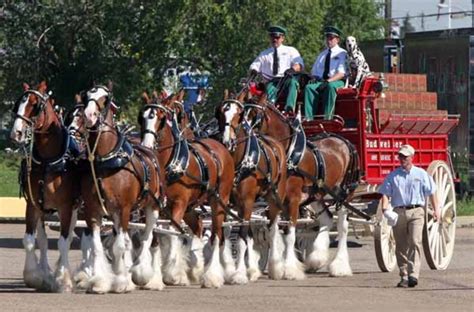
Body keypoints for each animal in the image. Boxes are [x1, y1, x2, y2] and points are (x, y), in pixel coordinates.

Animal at [10, 81, 80, 292]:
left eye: (35, 105)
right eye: (17, 104)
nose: (15, 134)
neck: (48, 162)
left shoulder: (66, 207)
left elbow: (64, 242)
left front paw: (63, 280)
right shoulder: (33, 205)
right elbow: (30, 240)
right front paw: (35, 276)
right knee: (42, 239)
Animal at [72, 84, 165, 292]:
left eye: (105, 98)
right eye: (87, 95)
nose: (89, 115)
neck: (106, 159)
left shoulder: (124, 208)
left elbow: (120, 247)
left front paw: (122, 281)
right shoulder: (93, 210)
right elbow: (98, 246)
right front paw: (99, 281)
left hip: (152, 207)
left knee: (148, 238)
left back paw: (144, 274)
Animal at [140, 92, 236, 288]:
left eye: (161, 118)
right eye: (142, 117)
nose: (146, 144)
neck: (169, 164)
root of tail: (220, 147)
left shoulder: (179, 203)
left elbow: (172, 232)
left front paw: (172, 273)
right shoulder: (159, 206)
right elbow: (156, 236)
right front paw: (155, 277)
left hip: (218, 200)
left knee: (216, 235)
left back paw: (213, 275)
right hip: (190, 208)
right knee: (199, 227)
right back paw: (196, 267)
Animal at [216, 94, 288, 284]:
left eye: (238, 114)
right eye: (220, 113)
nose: (227, 141)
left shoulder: (246, 202)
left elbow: (241, 239)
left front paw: (239, 274)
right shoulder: (224, 202)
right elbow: (225, 235)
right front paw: (227, 270)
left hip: (274, 197)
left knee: (272, 229)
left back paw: (275, 268)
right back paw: (254, 269)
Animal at [244, 91, 360, 280]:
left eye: (255, 115)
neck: (287, 153)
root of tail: (344, 140)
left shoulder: (293, 199)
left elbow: (290, 235)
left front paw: (290, 269)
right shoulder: (274, 201)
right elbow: (274, 231)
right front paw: (277, 267)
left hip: (343, 192)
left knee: (342, 225)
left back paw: (340, 266)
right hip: (317, 193)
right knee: (327, 218)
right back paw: (316, 258)